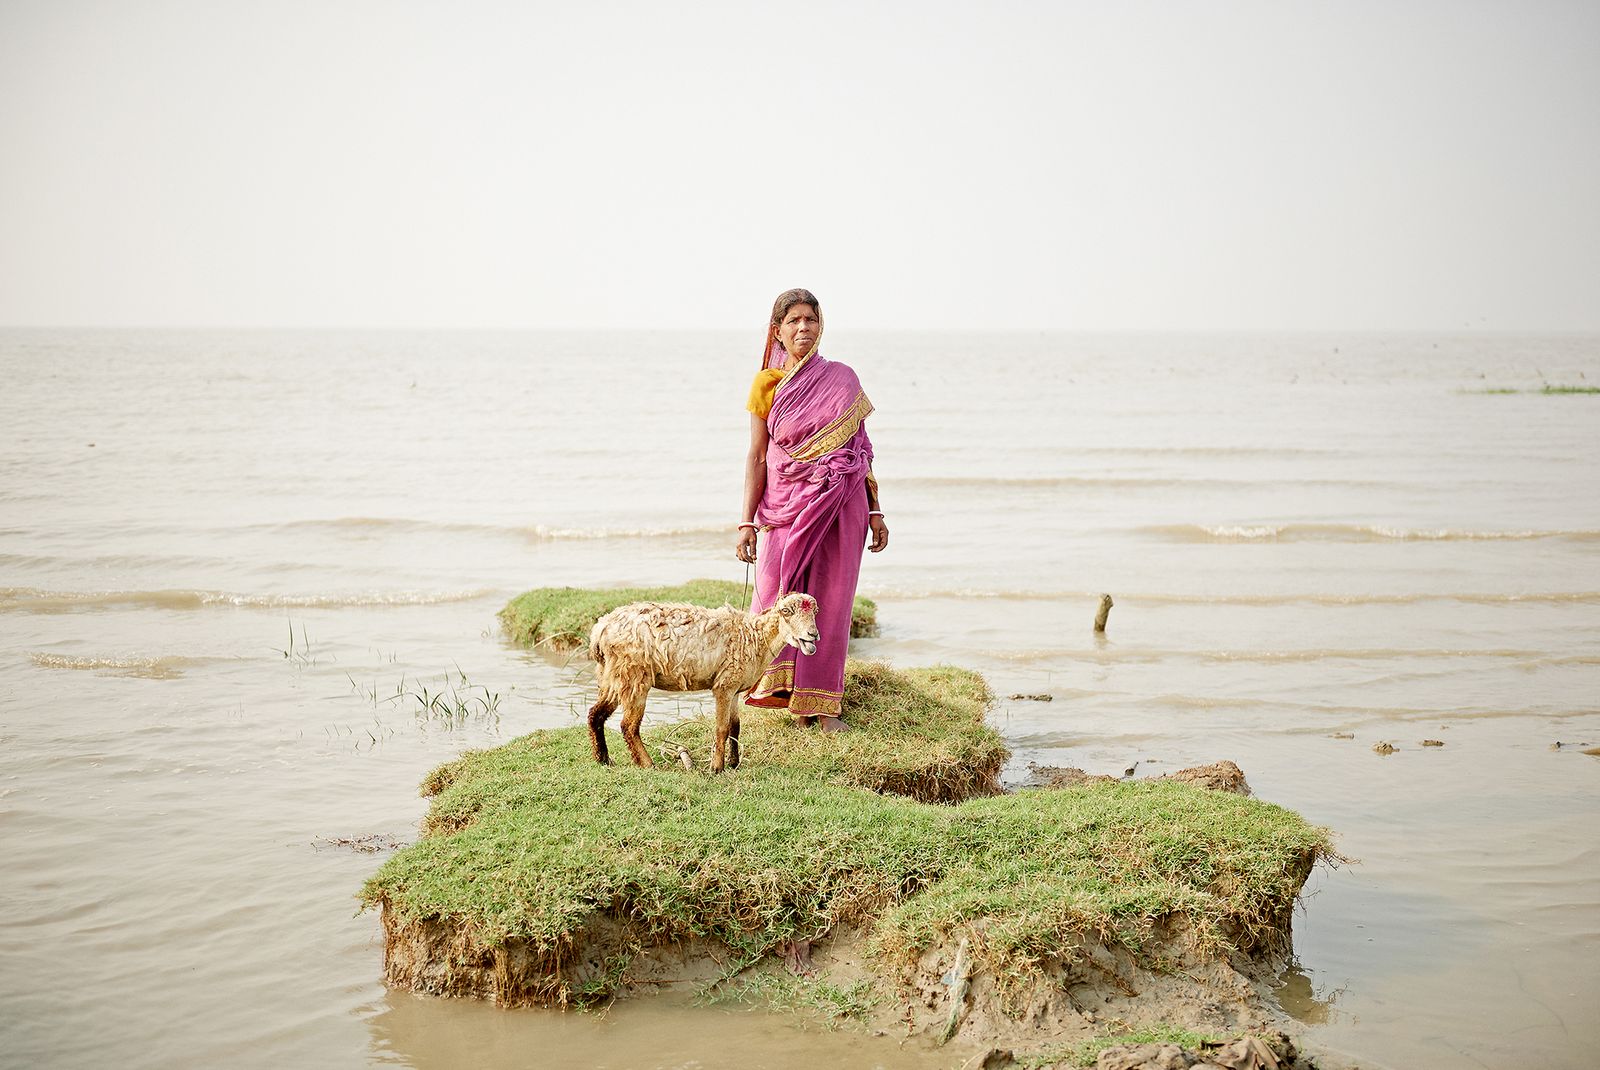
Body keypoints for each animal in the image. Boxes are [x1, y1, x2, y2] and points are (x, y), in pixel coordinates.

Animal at [585, 588, 819, 770]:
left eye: (815, 612)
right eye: (786, 612)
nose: (813, 635)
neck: (754, 637)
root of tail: (600, 630)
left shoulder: (735, 688)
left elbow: (735, 726)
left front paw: (734, 762)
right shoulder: (724, 685)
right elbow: (721, 728)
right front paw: (717, 768)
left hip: (611, 676)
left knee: (596, 714)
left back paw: (603, 759)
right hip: (633, 675)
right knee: (628, 726)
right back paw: (646, 763)